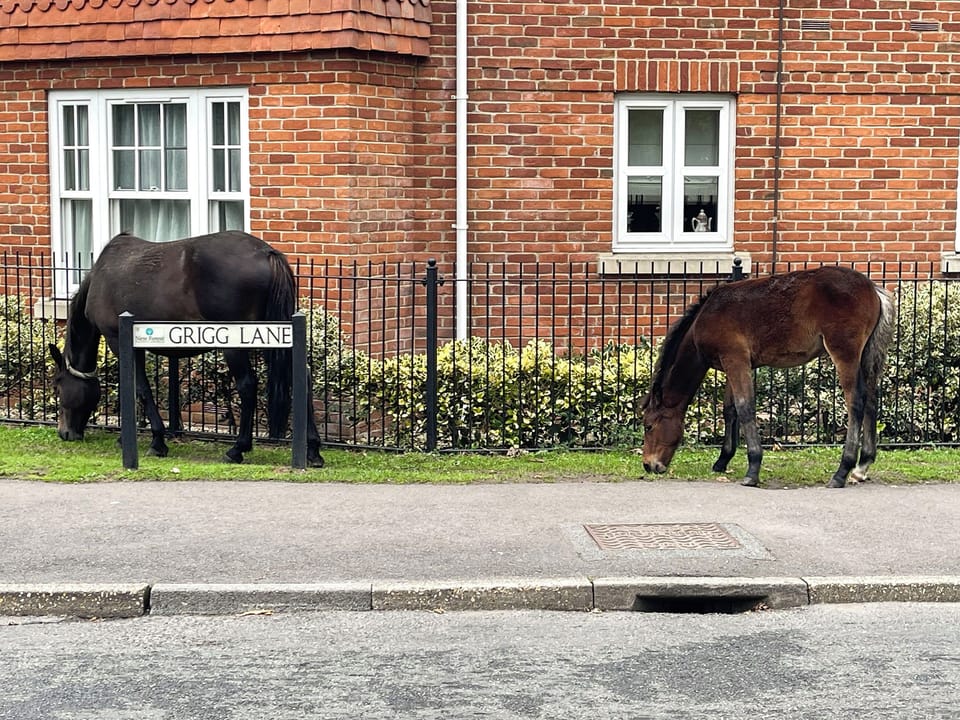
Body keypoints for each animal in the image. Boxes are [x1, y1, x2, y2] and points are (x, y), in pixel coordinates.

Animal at [48, 230, 324, 467]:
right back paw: (313, 451)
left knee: (247, 385)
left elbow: (140, 389)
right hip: (275, 335)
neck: (101, 276)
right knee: (302, 376)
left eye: (58, 388)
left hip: (237, 342)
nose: (65, 432)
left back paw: (237, 449)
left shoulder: (118, 340)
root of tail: (266, 252)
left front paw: (157, 441)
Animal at [641, 266, 896, 488]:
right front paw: (723, 460)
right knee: (871, 400)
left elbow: (745, 408)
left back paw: (842, 471)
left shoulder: (735, 360)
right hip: (865, 356)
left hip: (845, 353)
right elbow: (730, 410)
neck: (705, 318)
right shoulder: (735, 363)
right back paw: (861, 467)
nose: (648, 465)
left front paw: (753, 469)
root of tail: (874, 289)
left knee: (856, 402)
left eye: (649, 426)